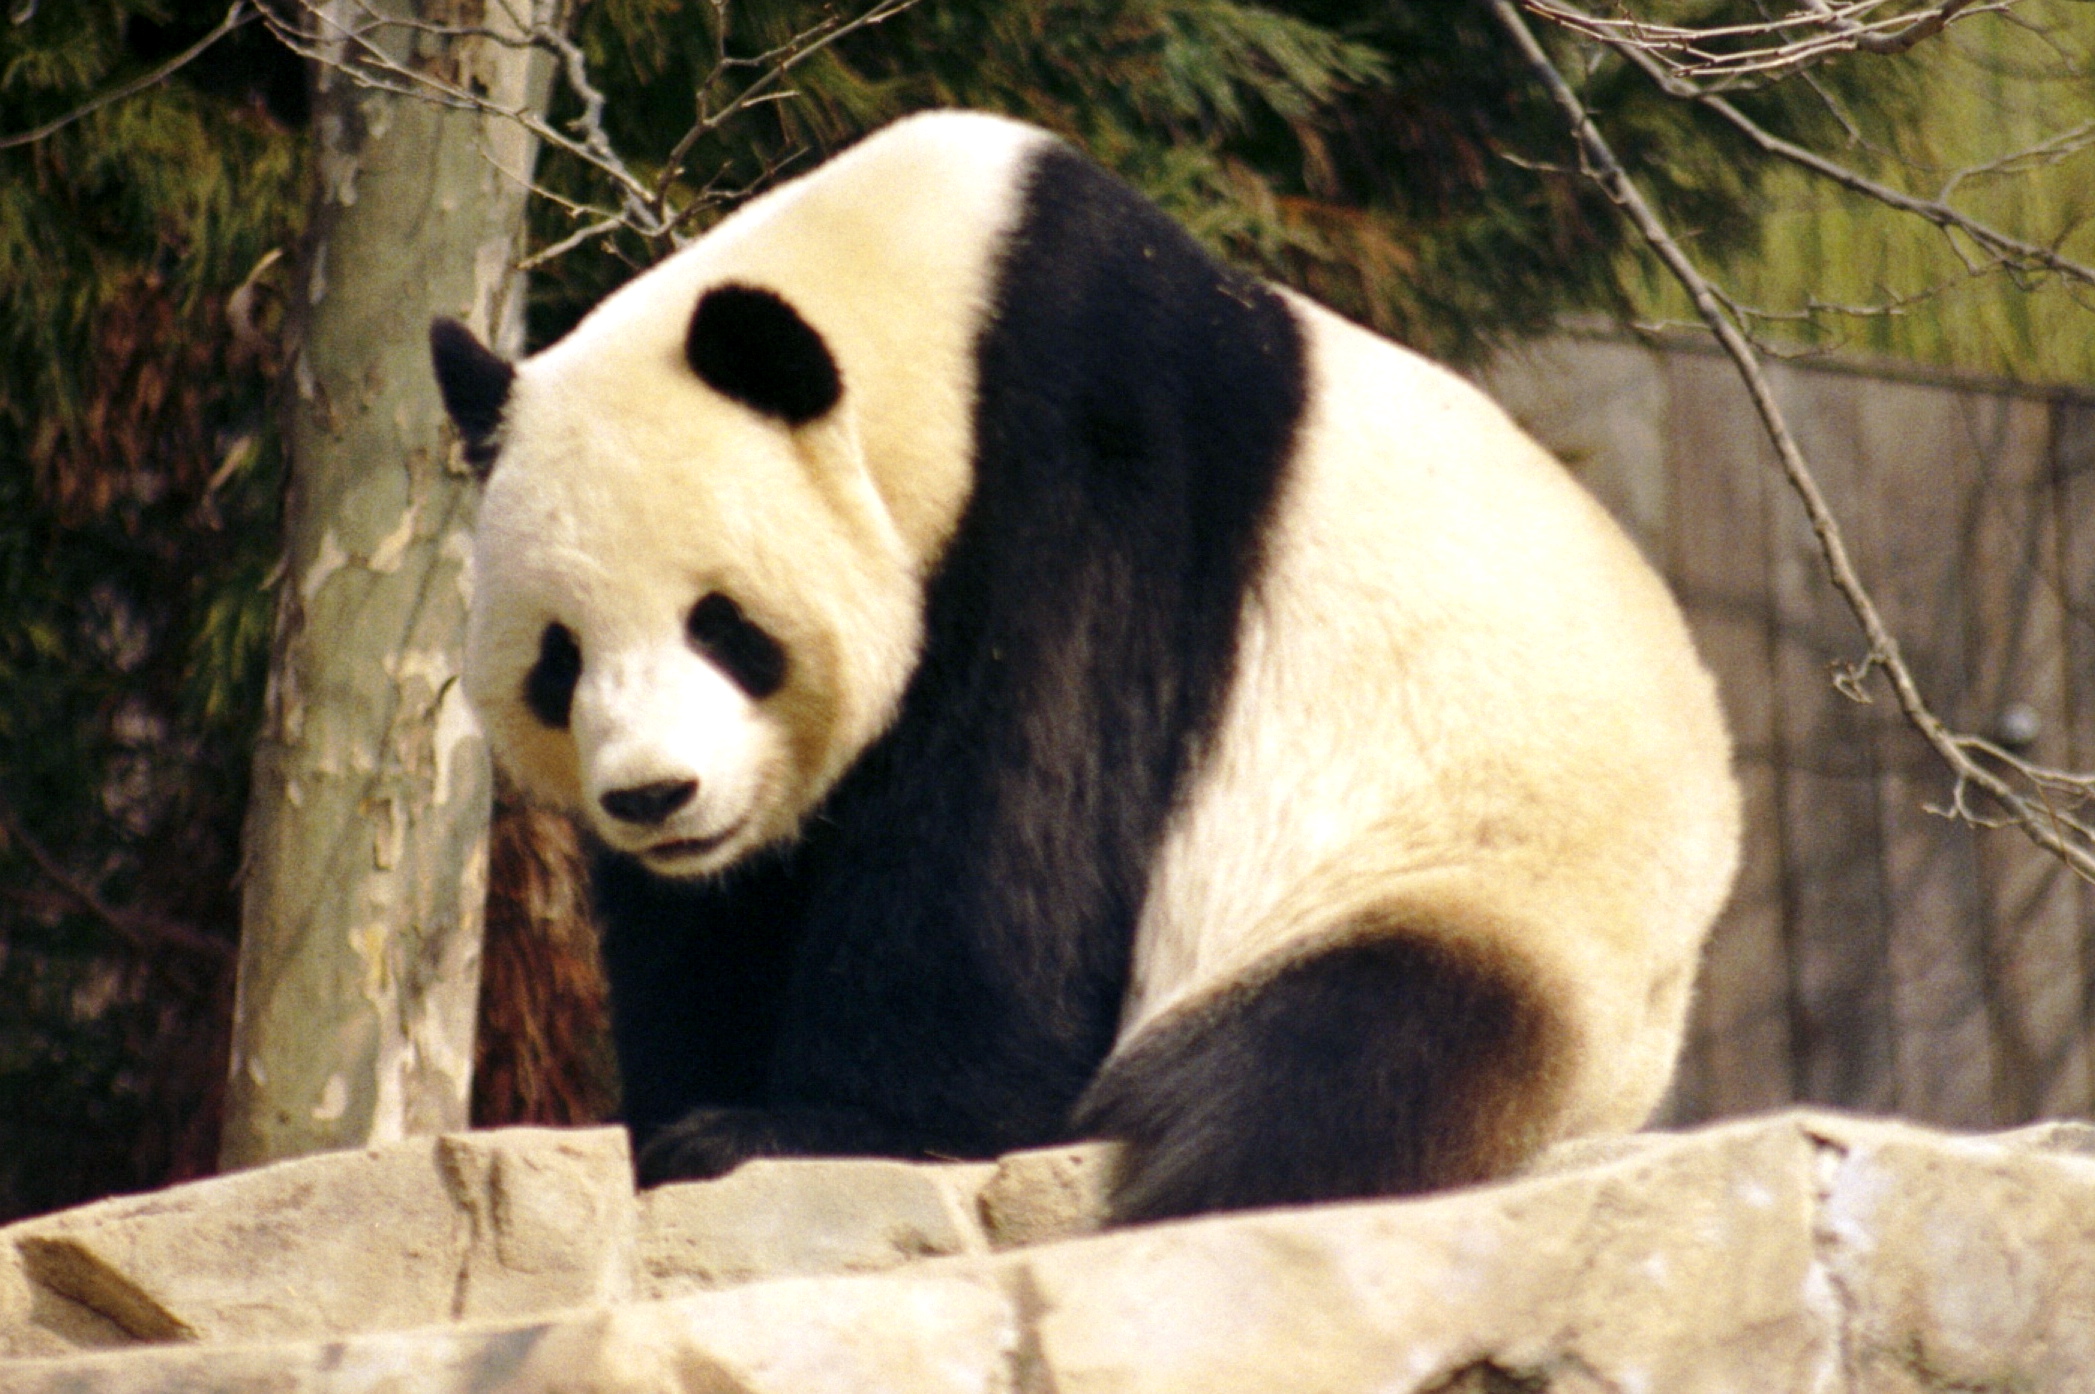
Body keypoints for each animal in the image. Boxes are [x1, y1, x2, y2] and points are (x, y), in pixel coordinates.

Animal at [425, 111, 1734, 1215]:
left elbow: (1017, 823)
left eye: (722, 624)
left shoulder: (1091, 472)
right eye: (559, 660)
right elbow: (717, 916)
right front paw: (682, 1113)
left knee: (1338, 1064)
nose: (654, 796)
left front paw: (807, 1127)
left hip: (1479, 882)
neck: (936, 308)